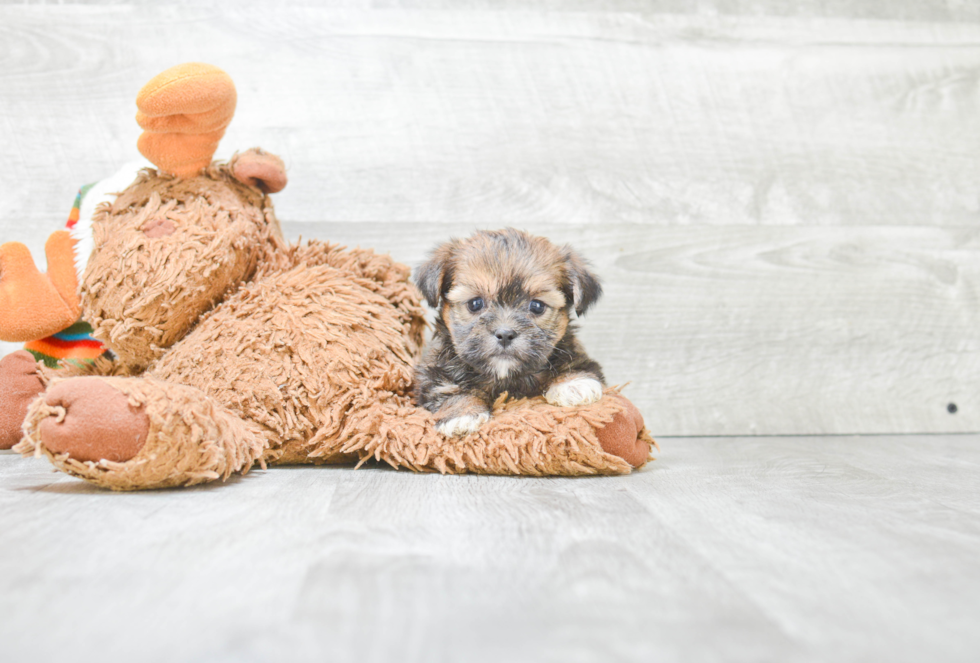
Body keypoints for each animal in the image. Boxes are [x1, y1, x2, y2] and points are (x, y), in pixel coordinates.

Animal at [412, 228, 604, 436]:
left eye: (537, 306)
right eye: (475, 303)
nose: (505, 334)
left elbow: (574, 361)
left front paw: (573, 384)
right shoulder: (433, 372)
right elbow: (446, 388)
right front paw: (462, 413)